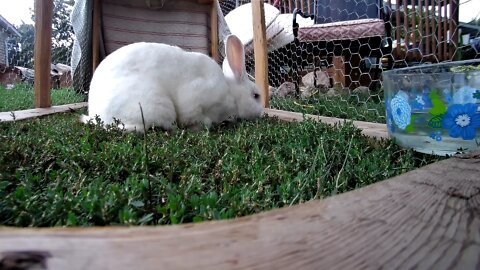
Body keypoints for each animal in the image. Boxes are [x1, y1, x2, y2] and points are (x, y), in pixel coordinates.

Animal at [80, 34, 264, 131]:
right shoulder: (195, 99)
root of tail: (98, 117)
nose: (262, 113)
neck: (231, 91)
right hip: (157, 107)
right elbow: (195, 117)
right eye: (256, 96)